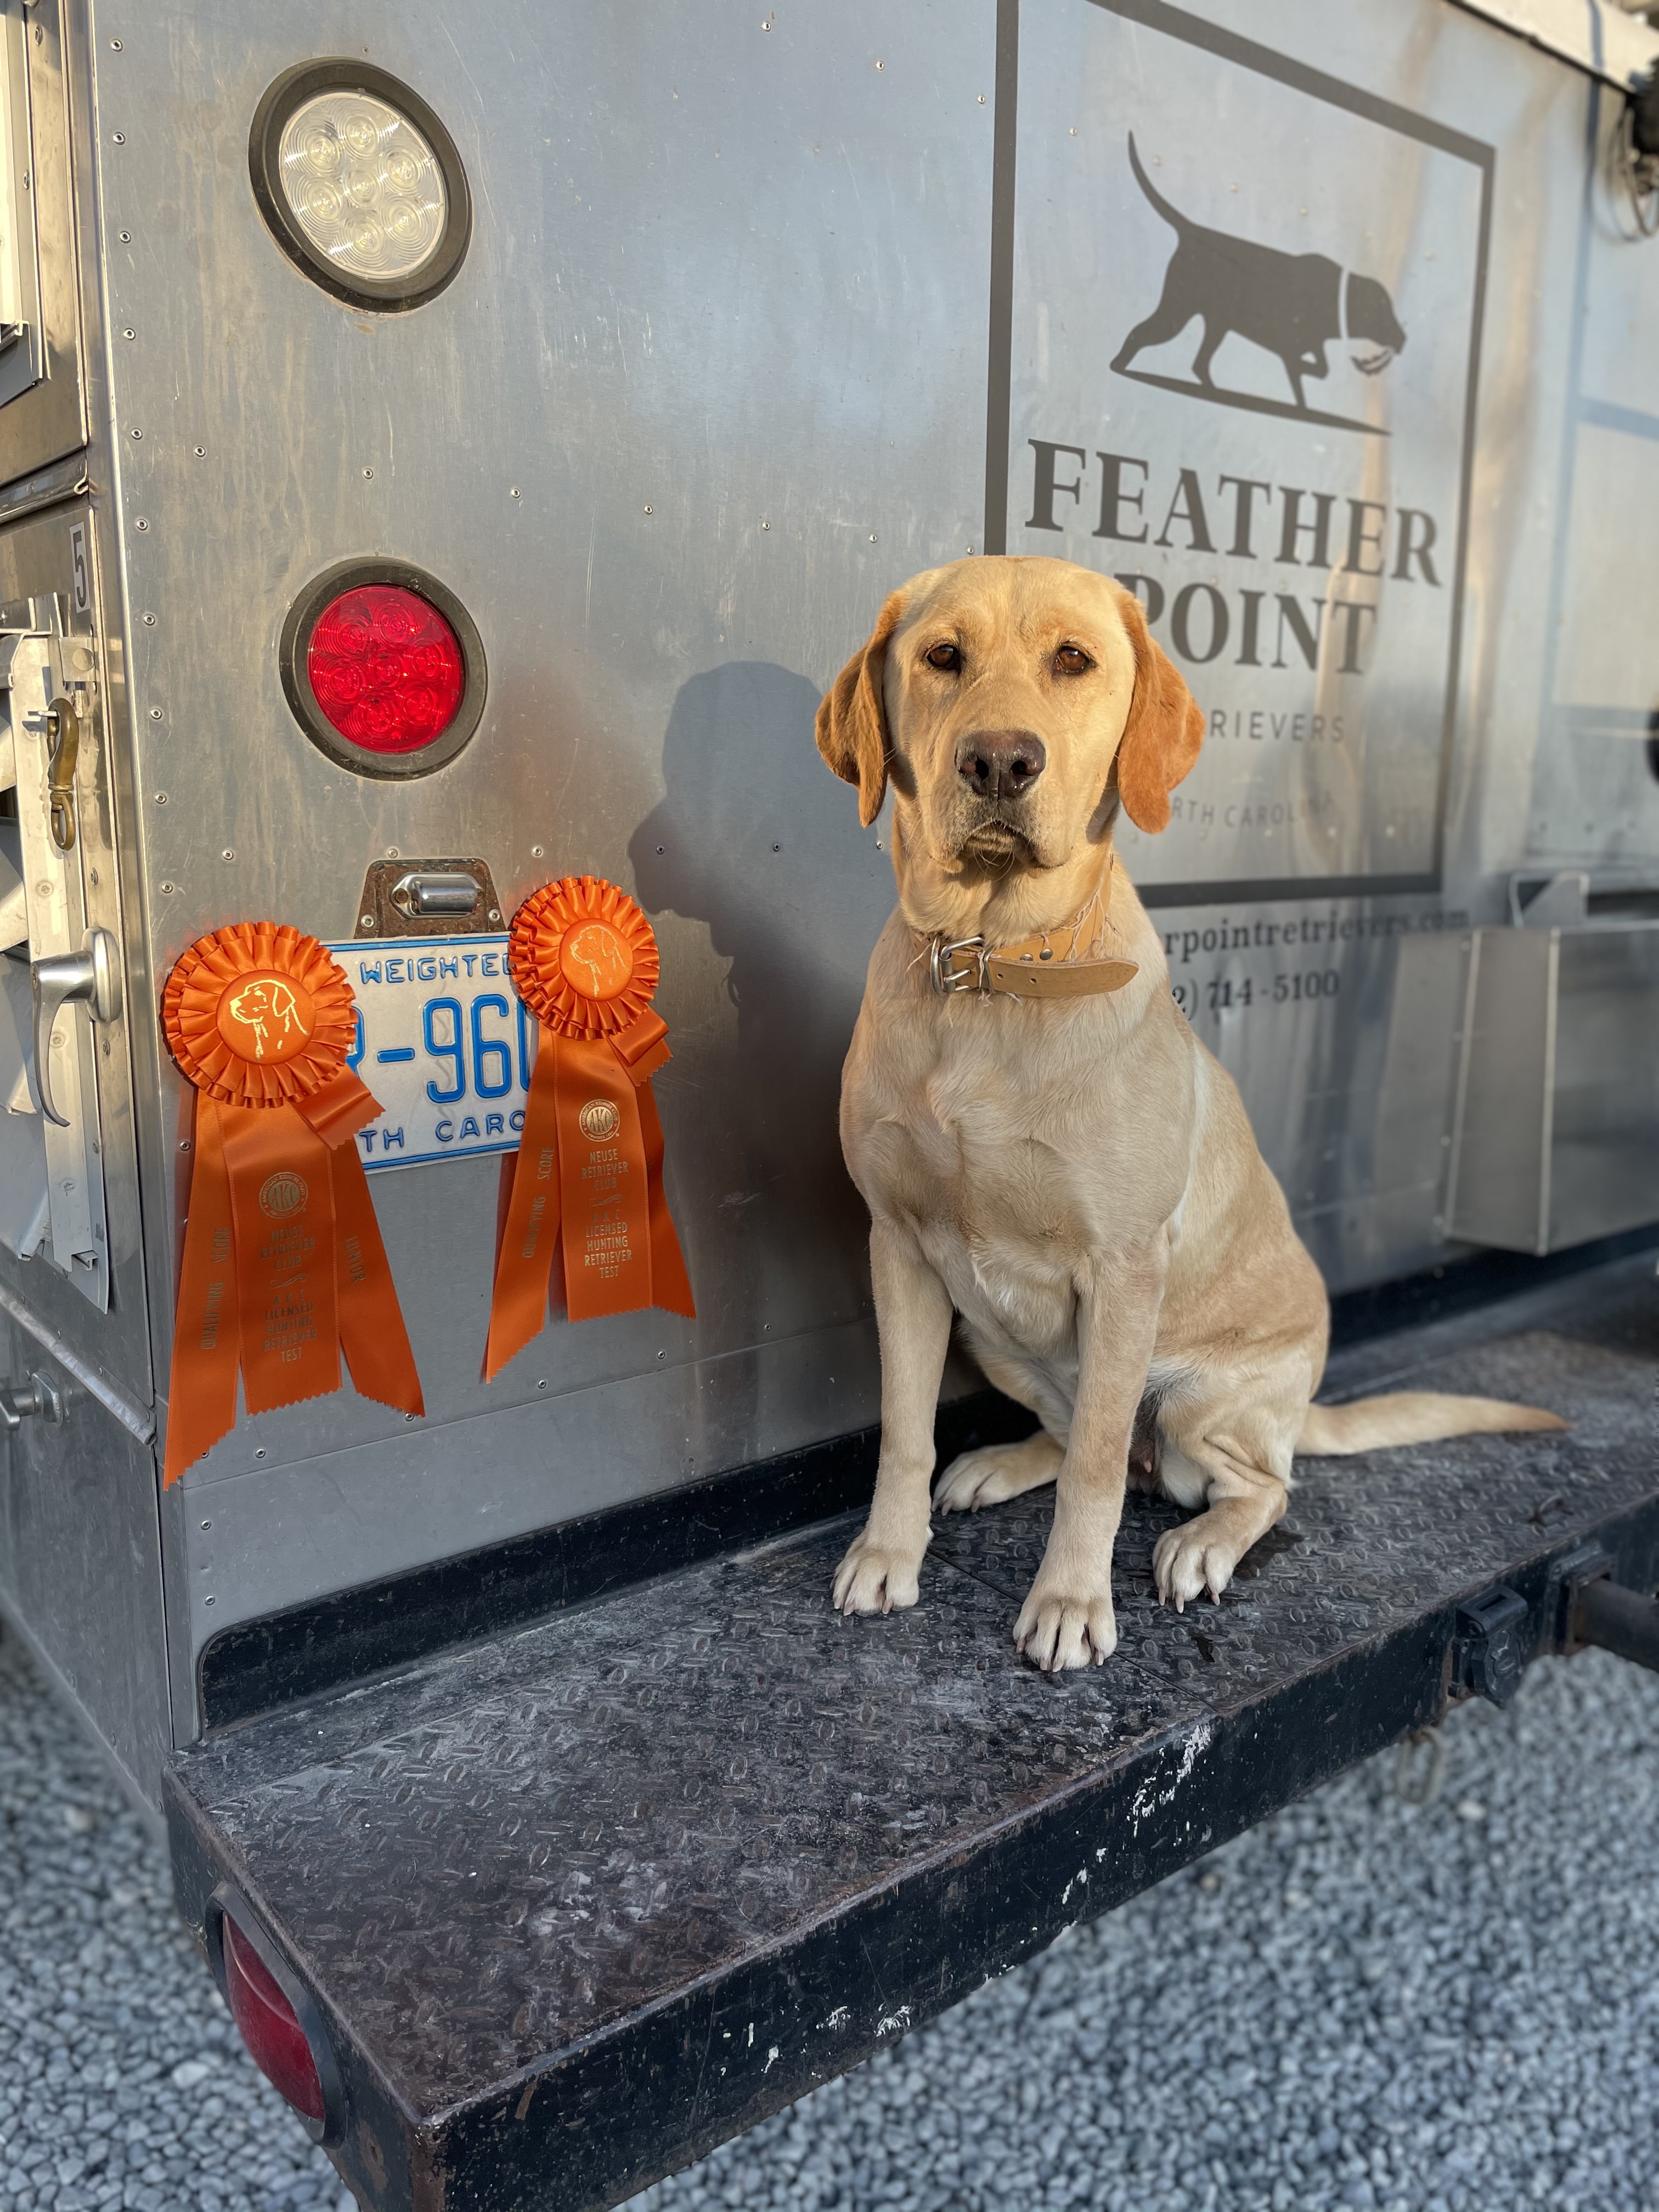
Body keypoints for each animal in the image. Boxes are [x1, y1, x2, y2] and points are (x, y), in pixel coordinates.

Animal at [814, 556, 1564, 1672]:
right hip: (992, 1337)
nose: (999, 761)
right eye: (942, 656)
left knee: (1243, 1481)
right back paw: (1000, 1461)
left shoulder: (1124, 1270)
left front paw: (1070, 1602)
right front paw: (886, 1554)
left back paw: (1203, 1540)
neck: (993, 972)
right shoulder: (899, 1250)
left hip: (1201, 1399)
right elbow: (907, 1431)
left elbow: (1092, 1472)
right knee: (1077, 1434)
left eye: (1072, 660)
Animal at [1111, 135, 1406, 411]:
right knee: (1145, 334)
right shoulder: (1292, 344)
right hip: (1180, 306)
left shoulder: (1312, 343)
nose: (1403, 339)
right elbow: (1304, 371)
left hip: (1215, 321)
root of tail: (1191, 229)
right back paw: (1120, 367)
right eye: (1381, 312)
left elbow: (1317, 373)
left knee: (1199, 363)